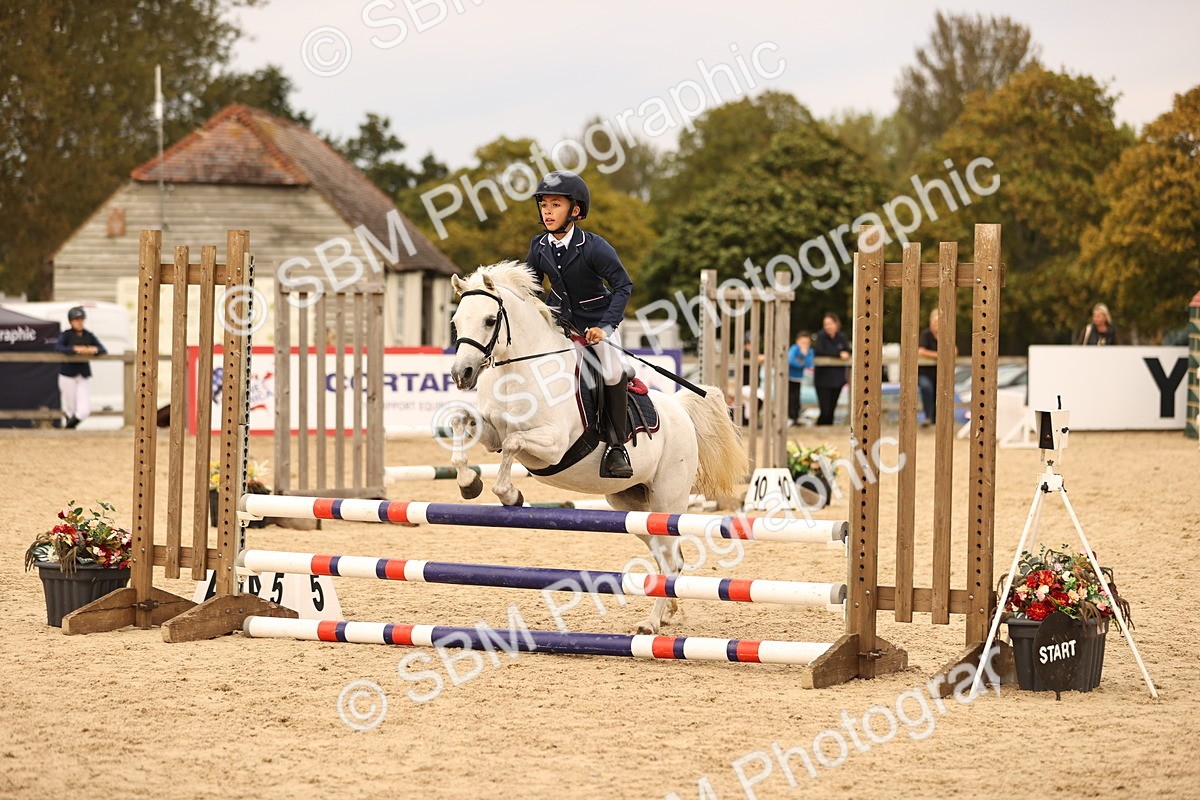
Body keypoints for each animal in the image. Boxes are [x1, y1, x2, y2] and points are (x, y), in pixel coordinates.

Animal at [446, 261, 747, 634]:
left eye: (490, 320)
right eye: (456, 321)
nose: (462, 373)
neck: (518, 372)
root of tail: (680, 412)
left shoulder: (552, 444)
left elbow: (514, 444)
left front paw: (510, 495)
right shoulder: (492, 435)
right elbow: (460, 421)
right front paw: (468, 483)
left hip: (666, 500)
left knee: (669, 559)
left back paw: (650, 624)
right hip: (630, 505)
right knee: (667, 557)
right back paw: (669, 611)